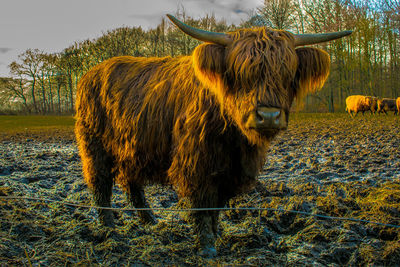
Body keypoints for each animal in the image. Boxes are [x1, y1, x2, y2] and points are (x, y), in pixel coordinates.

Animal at [73, 14, 352, 258]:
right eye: (241, 74)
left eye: (287, 74)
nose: (269, 116)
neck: (235, 139)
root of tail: (90, 73)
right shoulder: (198, 165)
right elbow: (204, 206)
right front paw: (207, 246)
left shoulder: (228, 171)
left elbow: (217, 206)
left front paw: (217, 235)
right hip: (94, 146)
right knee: (101, 184)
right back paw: (109, 227)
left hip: (132, 147)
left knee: (133, 183)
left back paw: (150, 220)